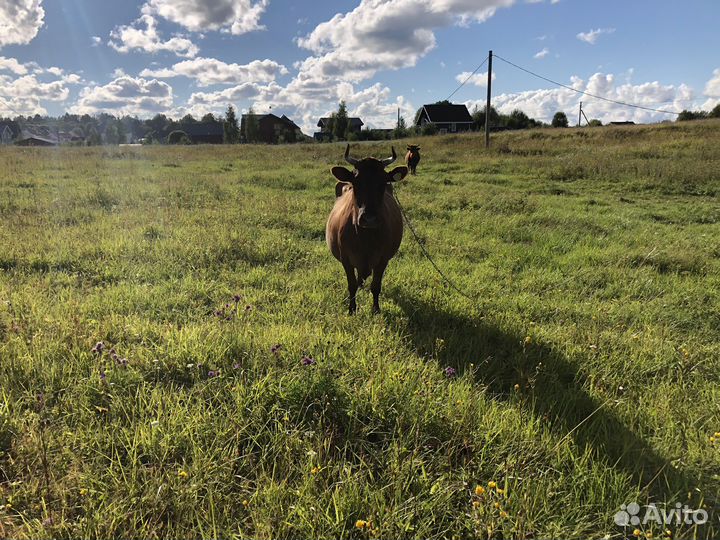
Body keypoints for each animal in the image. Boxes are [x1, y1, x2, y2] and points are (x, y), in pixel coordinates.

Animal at [326, 145, 408, 314]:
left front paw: (376, 309)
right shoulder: (346, 259)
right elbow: (351, 285)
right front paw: (352, 309)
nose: (369, 218)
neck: (365, 238)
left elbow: (376, 286)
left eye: (383, 182)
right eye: (356, 182)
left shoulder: (383, 260)